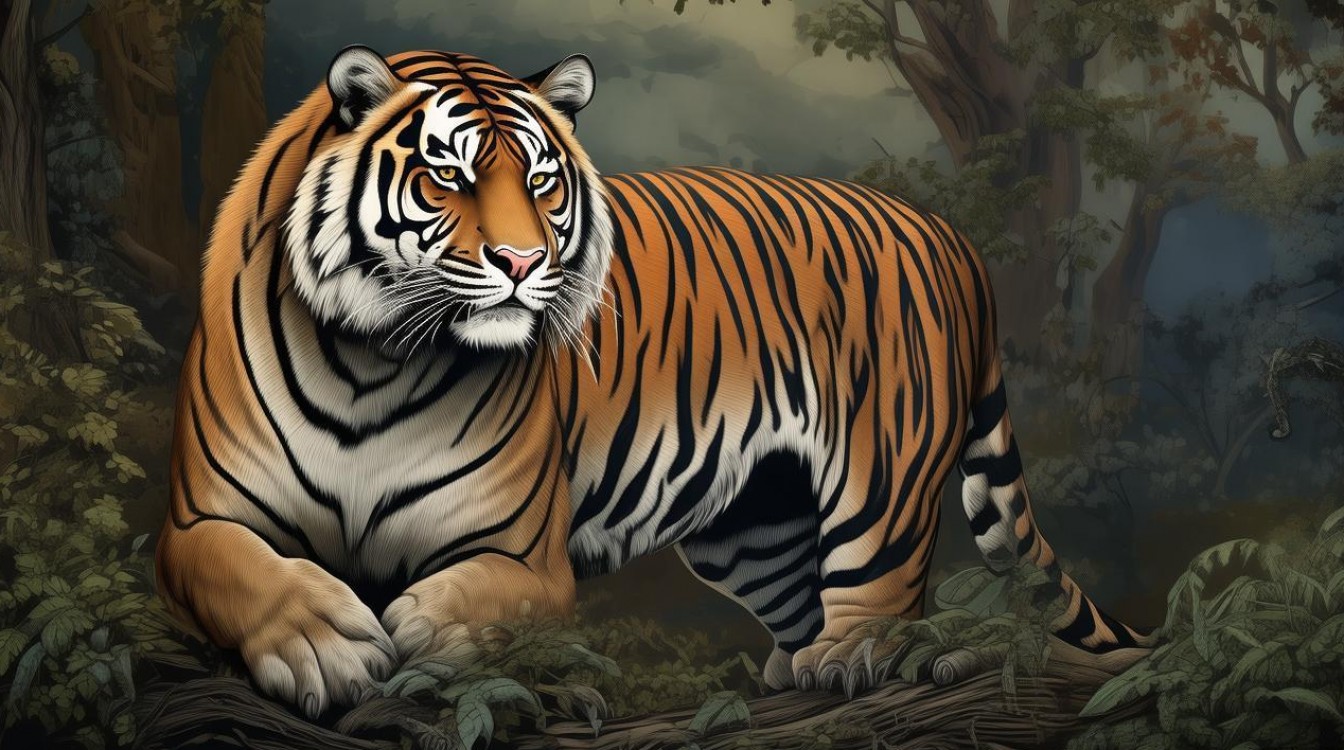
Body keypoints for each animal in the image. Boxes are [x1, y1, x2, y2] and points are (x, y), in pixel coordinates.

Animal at [157, 45, 1152, 718]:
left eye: (542, 180)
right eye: (449, 176)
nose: (521, 262)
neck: (374, 361)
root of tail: (947, 233)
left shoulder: (523, 554)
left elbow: (484, 603)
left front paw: (422, 634)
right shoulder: (201, 520)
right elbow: (241, 571)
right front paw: (322, 645)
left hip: (881, 477)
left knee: (884, 586)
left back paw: (846, 657)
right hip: (753, 526)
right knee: (798, 591)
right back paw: (794, 666)